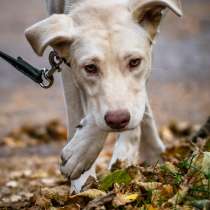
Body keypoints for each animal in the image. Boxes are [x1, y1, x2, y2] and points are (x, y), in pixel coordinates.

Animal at [24, 0, 182, 193]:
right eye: (90, 68)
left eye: (134, 62)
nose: (118, 120)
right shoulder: (68, 65)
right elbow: (77, 112)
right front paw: (82, 176)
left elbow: (136, 102)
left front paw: (122, 151)